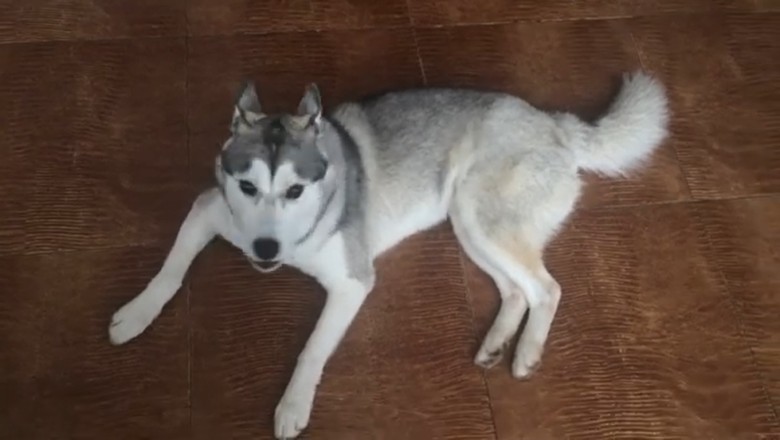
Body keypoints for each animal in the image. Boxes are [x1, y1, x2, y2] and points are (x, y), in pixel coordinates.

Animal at [108, 72, 668, 438]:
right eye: (247, 186)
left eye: (295, 190)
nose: (265, 249)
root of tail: (555, 124)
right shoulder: (209, 209)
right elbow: (170, 269)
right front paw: (135, 315)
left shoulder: (353, 282)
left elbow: (312, 348)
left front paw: (293, 404)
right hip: (466, 223)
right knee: (515, 290)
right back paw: (495, 343)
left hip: (480, 215)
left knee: (547, 288)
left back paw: (527, 351)